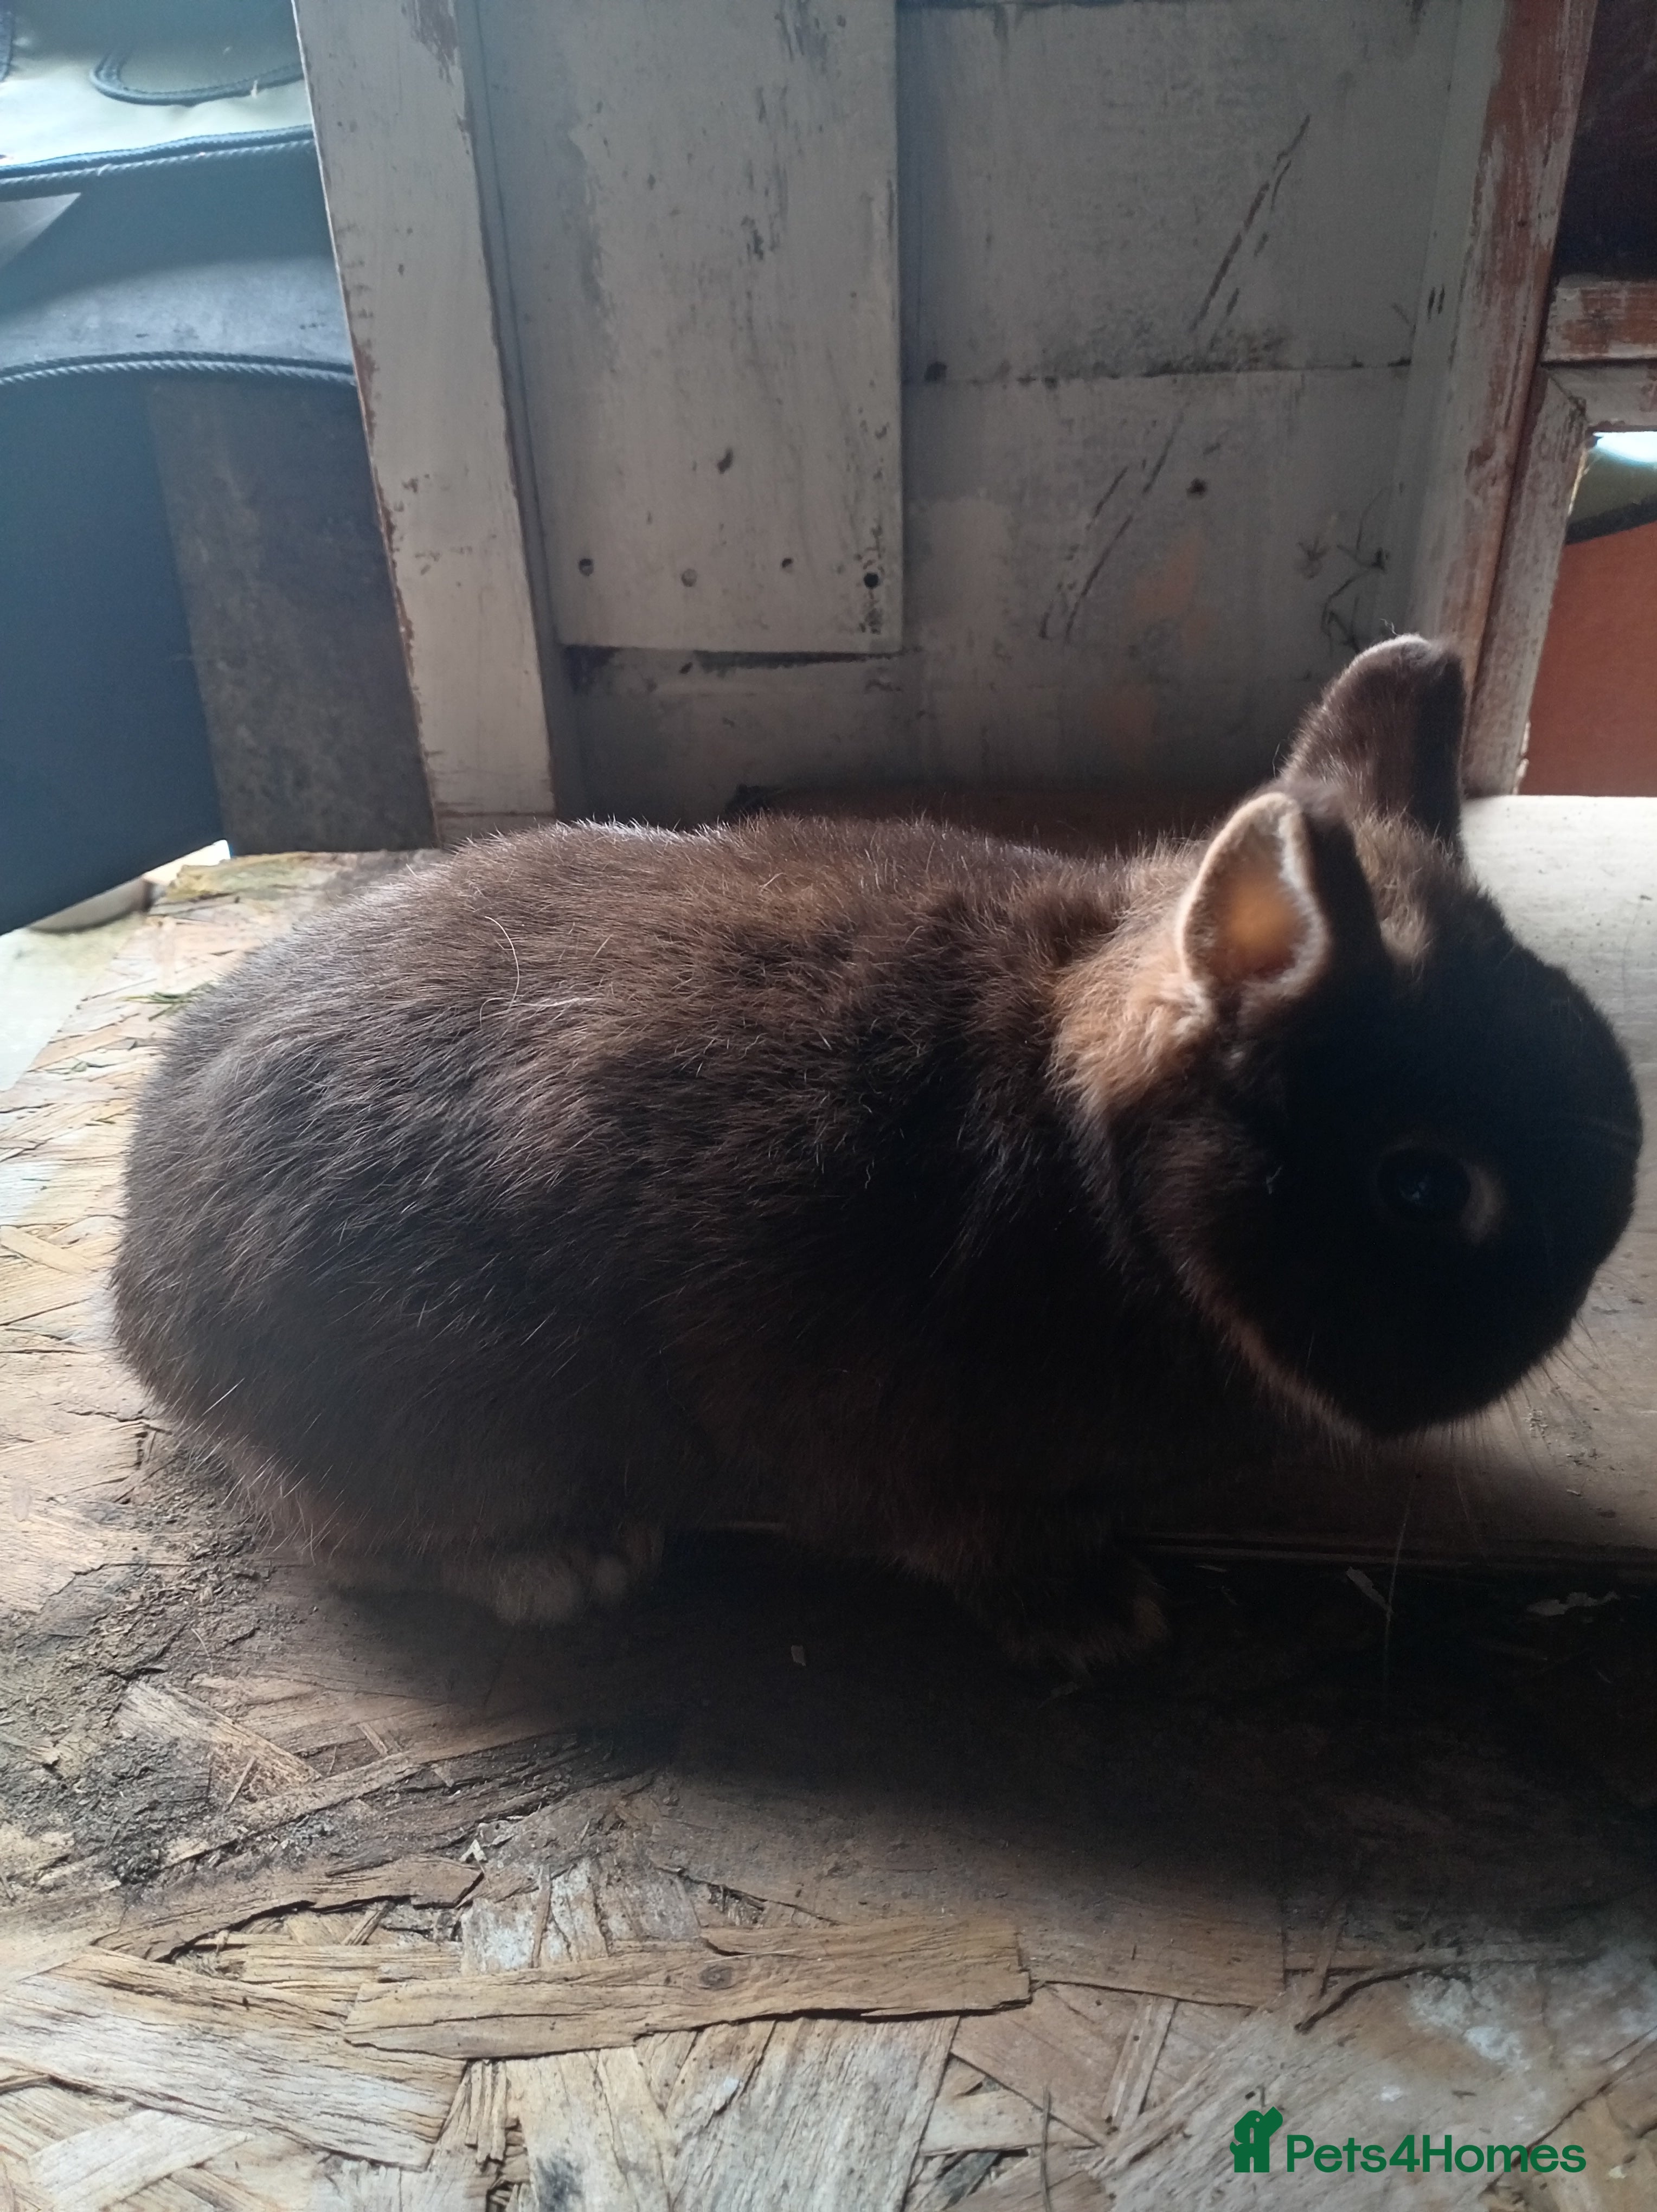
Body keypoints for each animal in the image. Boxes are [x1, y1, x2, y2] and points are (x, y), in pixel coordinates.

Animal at [114, 638, 1641, 1671]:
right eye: (1423, 1185)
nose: (1559, 1306)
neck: (1110, 1191)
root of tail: (143, 1302)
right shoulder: (944, 1470)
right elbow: (993, 1552)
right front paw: (1110, 1618)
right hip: (449, 1410)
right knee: (341, 1533)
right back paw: (569, 1562)